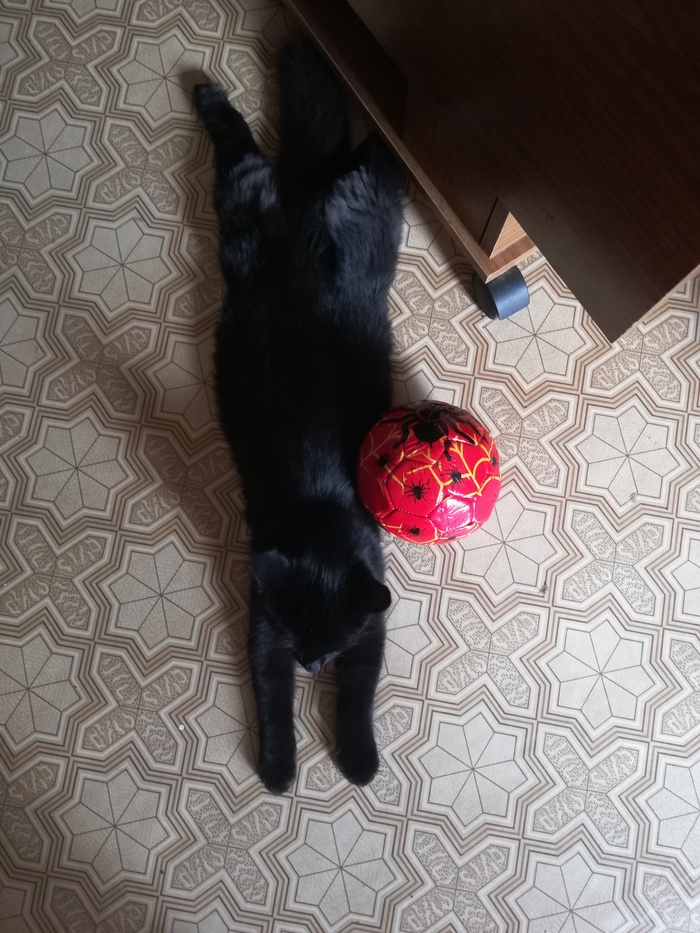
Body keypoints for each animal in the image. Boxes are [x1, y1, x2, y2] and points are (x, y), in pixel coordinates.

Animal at [193, 37, 403, 795]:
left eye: (331, 643)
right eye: (303, 642)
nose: (314, 662)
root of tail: (307, 194)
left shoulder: (371, 630)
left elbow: (359, 695)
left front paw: (359, 758)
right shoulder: (263, 624)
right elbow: (271, 697)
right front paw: (280, 767)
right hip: (248, 213)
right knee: (247, 146)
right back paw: (209, 95)